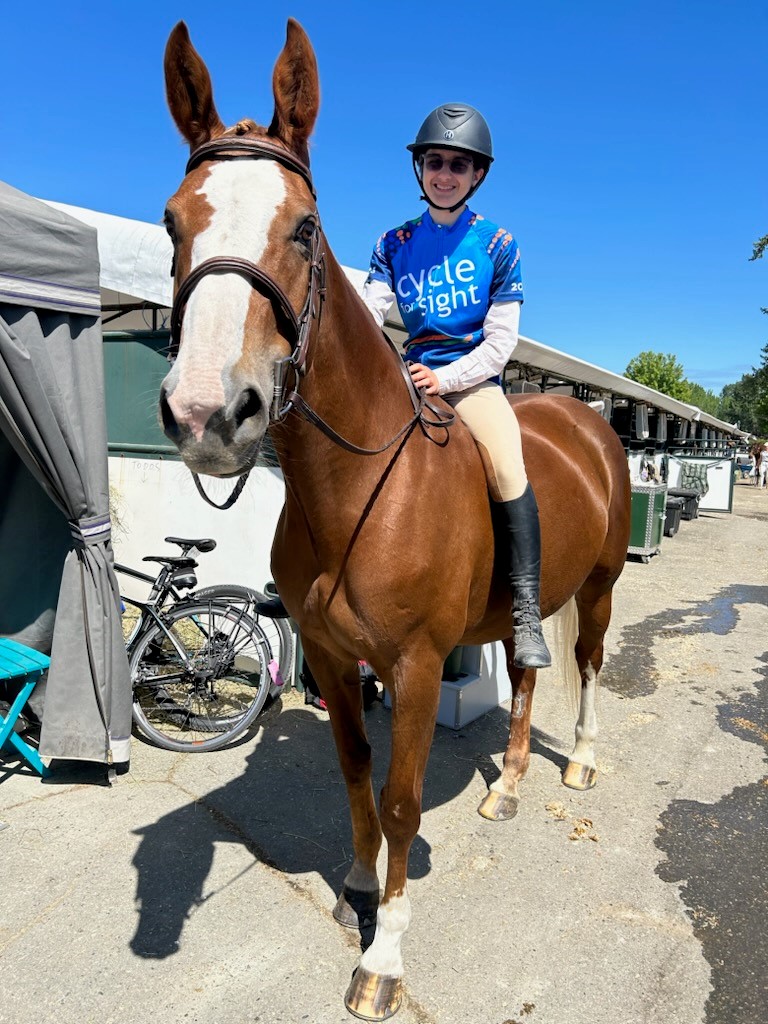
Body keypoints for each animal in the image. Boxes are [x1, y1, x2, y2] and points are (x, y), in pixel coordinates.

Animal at [160, 19, 630, 1019]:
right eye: (175, 221)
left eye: (304, 227)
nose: (207, 414)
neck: (355, 493)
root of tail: (585, 419)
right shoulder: (337, 662)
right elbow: (355, 780)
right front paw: (359, 888)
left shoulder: (413, 668)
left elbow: (405, 800)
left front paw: (383, 958)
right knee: (526, 675)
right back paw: (510, 787)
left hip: (603, 586)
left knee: (585, 662)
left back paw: (578, 762)